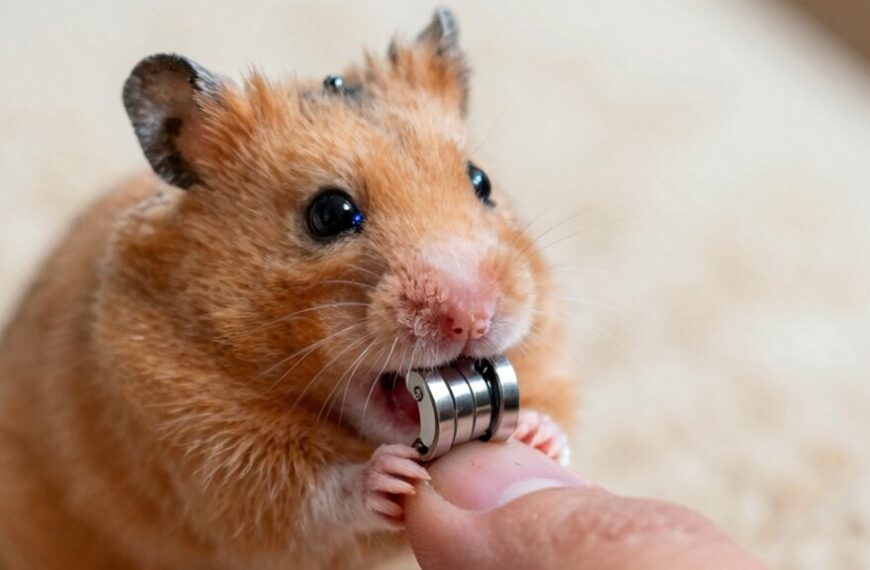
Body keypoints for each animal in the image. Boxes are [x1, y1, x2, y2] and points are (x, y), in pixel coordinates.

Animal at [0, 9, 576, 570]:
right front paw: (391, 474)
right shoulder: (202, 445)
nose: (473, 318)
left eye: (481, 182)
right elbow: (309, 496)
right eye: (330, 214)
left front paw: (538, 435)